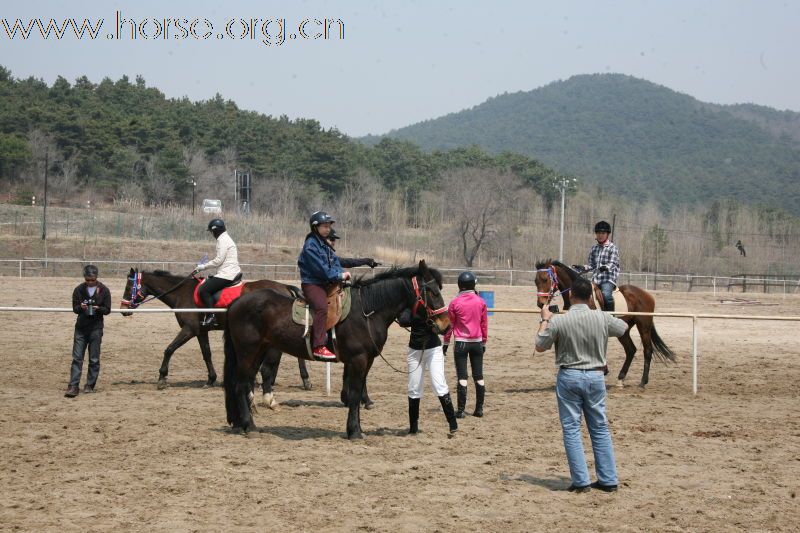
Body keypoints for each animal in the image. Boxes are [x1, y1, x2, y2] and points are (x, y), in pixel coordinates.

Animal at [223, 260, 450, 438]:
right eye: (432, 291)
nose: (446, 324)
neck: (367, 311)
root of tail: (238, 302)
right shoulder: (358, 360)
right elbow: (355, 392)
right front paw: (355, 431)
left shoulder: (366, 361)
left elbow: (357, 392)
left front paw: (356, 427)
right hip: (247, 352)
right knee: (240, 385)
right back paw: (249, 426)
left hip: (258, 351)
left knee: (246, 383)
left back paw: (243, 423)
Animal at [536, 258, 676, 386]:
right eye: (536, 281)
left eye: (545, 279)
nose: (541, 303)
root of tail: (646, 294)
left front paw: (603, 369)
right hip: (624, 330)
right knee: (631, 350)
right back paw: (621, 377)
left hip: (644, 326)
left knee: (647, 350)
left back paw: (643, 381)